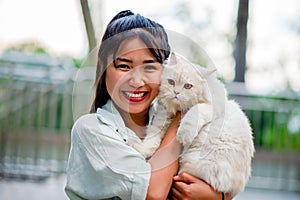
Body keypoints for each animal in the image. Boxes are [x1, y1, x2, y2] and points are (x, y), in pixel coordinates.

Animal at [127, 53, 254, 197]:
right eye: (171, 82)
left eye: (188, 86)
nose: (176, 93)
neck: (177, 109)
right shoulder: (162, 117)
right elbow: (151, 140)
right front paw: (139, 147)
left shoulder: (210, 106)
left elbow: (193, 115)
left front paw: (183, 135)